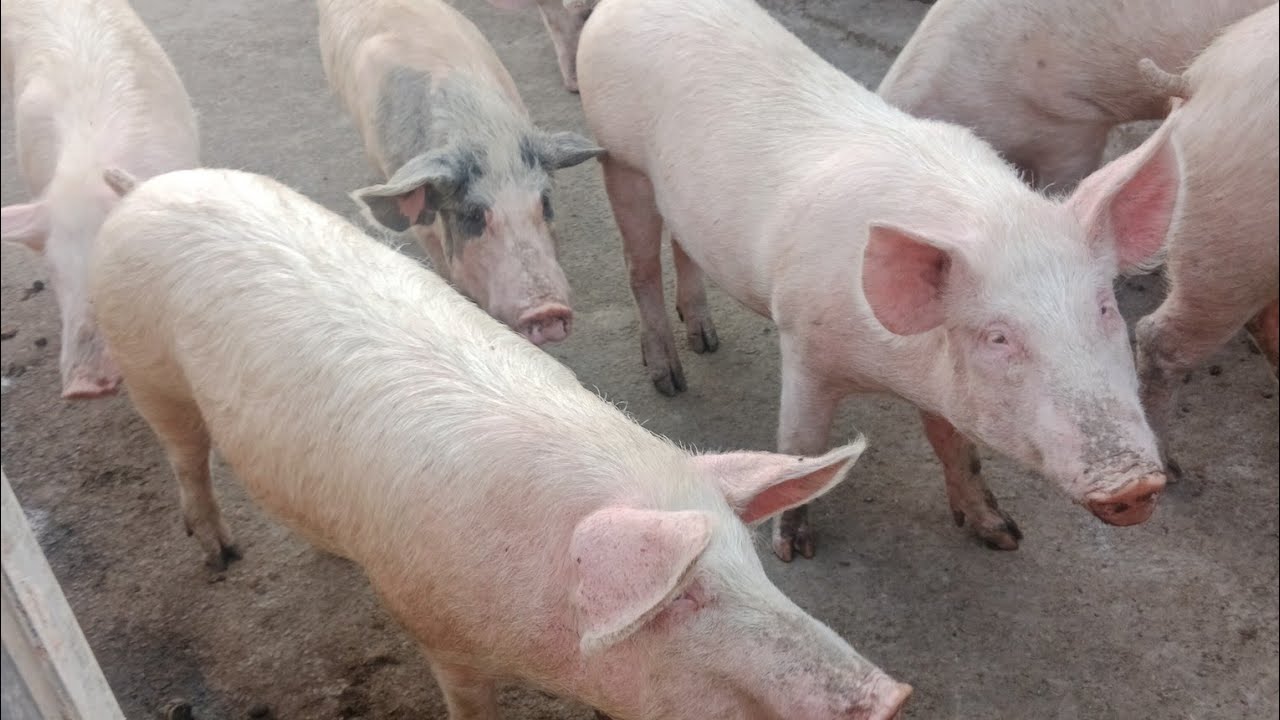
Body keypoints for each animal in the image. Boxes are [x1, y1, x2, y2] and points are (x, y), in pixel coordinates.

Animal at [90, 166, 913, 720]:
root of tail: (144, 186)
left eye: (753, 563)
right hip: (147, 366)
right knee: (186, 455)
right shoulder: (437, 630)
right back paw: (220, 556)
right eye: (683, 592)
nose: (893, 694)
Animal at [577, 0, 1180, 561]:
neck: (893, 372)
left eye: (1104, 308)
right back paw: (670, 378)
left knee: (684, 246)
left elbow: (954, 445)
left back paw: (706, 339)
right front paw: (793, 550)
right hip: (619, 160)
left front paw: (1002, 535)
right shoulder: (803, 340)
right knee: (639, 267)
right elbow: (800, 443)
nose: (1135, 483)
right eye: (997, 337)